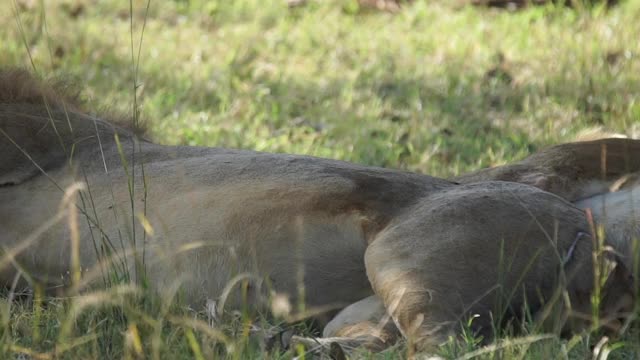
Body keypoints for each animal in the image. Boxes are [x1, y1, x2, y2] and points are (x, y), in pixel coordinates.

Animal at [0, 69, 636, 354]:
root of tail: (593, 240)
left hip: (403, 260)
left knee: (441, 347)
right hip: (364, 308)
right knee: (372, 344)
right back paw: (256, 338)